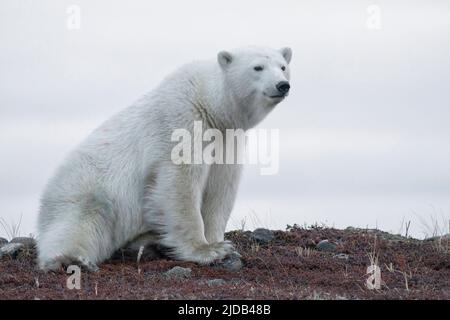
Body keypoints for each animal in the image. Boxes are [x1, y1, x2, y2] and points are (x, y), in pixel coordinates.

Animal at [37, 46, 292, 272]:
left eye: (283, 66)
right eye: (257, 67)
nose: (282, 85)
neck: (209, 105)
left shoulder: (226, 139)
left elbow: (220, 189)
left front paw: (221, 243)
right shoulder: (182, 122)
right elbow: (179, 184)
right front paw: (207, 251)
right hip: (87, 191)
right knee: (79, 225)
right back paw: (71, 260)